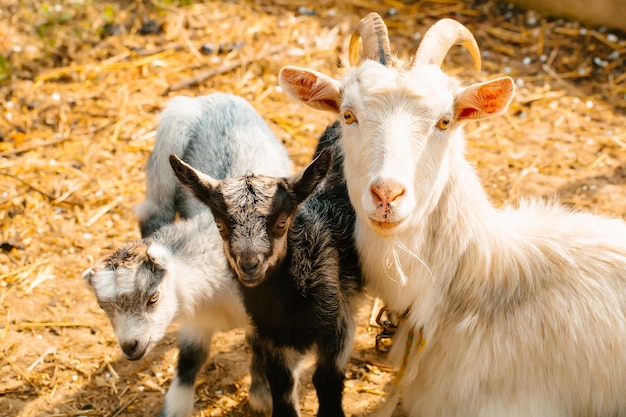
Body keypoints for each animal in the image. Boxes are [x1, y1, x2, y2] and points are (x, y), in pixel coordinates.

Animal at [81, 93, 292, 416]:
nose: (130, 346)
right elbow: (191, 358)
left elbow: (262, 347)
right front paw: (175, 407)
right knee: (152, 212)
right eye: (103, 307)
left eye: (153, 297)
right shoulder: (198, 317)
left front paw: (262, 395)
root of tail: (211, 98)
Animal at [168, 123, 364, 416]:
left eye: (282, 222)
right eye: (220, 226)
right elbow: (281, 384)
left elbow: (326, 379)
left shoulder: (339, 322)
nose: (249, 265)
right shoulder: (270, 333)